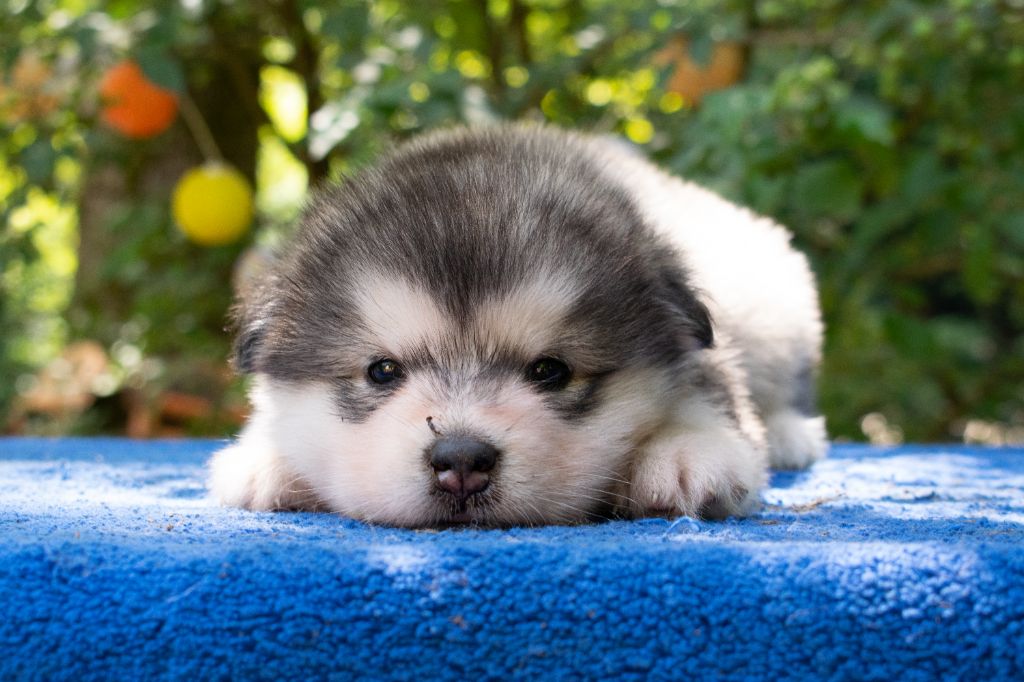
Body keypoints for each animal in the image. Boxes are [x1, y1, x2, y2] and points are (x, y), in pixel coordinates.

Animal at [207, 123, 823, 524]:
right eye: (382, 371)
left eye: (550, 370)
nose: (460, 460)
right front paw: (267, 458)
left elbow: (711, 390)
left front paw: (688, 450)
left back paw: (791, 434)